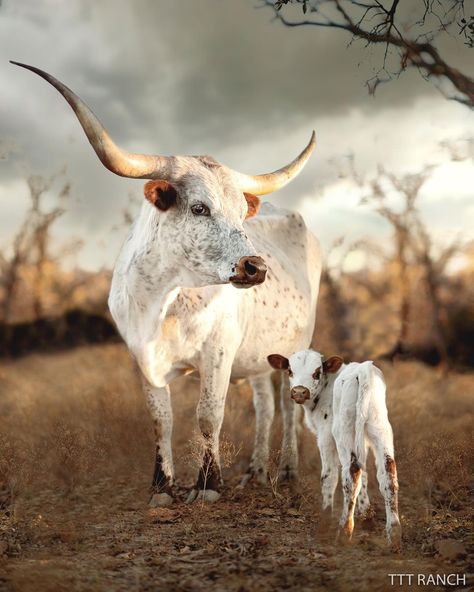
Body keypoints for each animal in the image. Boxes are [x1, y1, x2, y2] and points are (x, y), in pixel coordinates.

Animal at [266, 346, 400, 552]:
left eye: (317, 372)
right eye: (290, 371)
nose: (299, 392)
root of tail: (363, 370)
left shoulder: (325, 436)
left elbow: (328, 476)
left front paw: (325, 522)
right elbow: (366, 476)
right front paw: (366, 517)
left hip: (342, 431)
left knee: (351, 473)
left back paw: (344, 531)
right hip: (379, 429)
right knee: (387, 473)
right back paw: (394, 534)